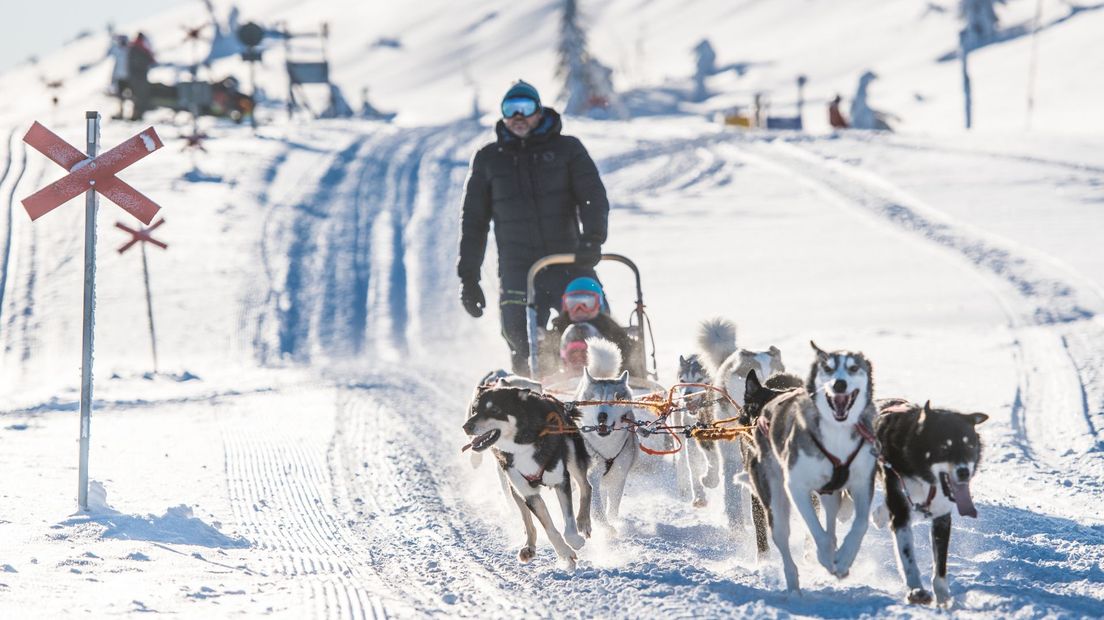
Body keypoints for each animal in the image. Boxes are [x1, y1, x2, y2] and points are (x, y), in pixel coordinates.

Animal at [461, 386, 591, 569]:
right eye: (474, 410)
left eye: (495, 410)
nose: (466, 426)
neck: (521, 445)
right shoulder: (528, 493)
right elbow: (549, 529)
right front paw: (564, 553)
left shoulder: (561, 481)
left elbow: (569, 521)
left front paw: (574, 541)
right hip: (515, 489)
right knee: (527, 520)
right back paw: (529, 546)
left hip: (573, 457)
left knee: (586, 486)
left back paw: (584, 522)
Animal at [874, 394, 989, 604]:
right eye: (944, 448)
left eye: (970, 446)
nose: (964, 472)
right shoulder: (901, 513)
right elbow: (908, 557)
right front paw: (916, 590)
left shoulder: (942, 518)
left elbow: (940, 565)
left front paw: (943, 597)